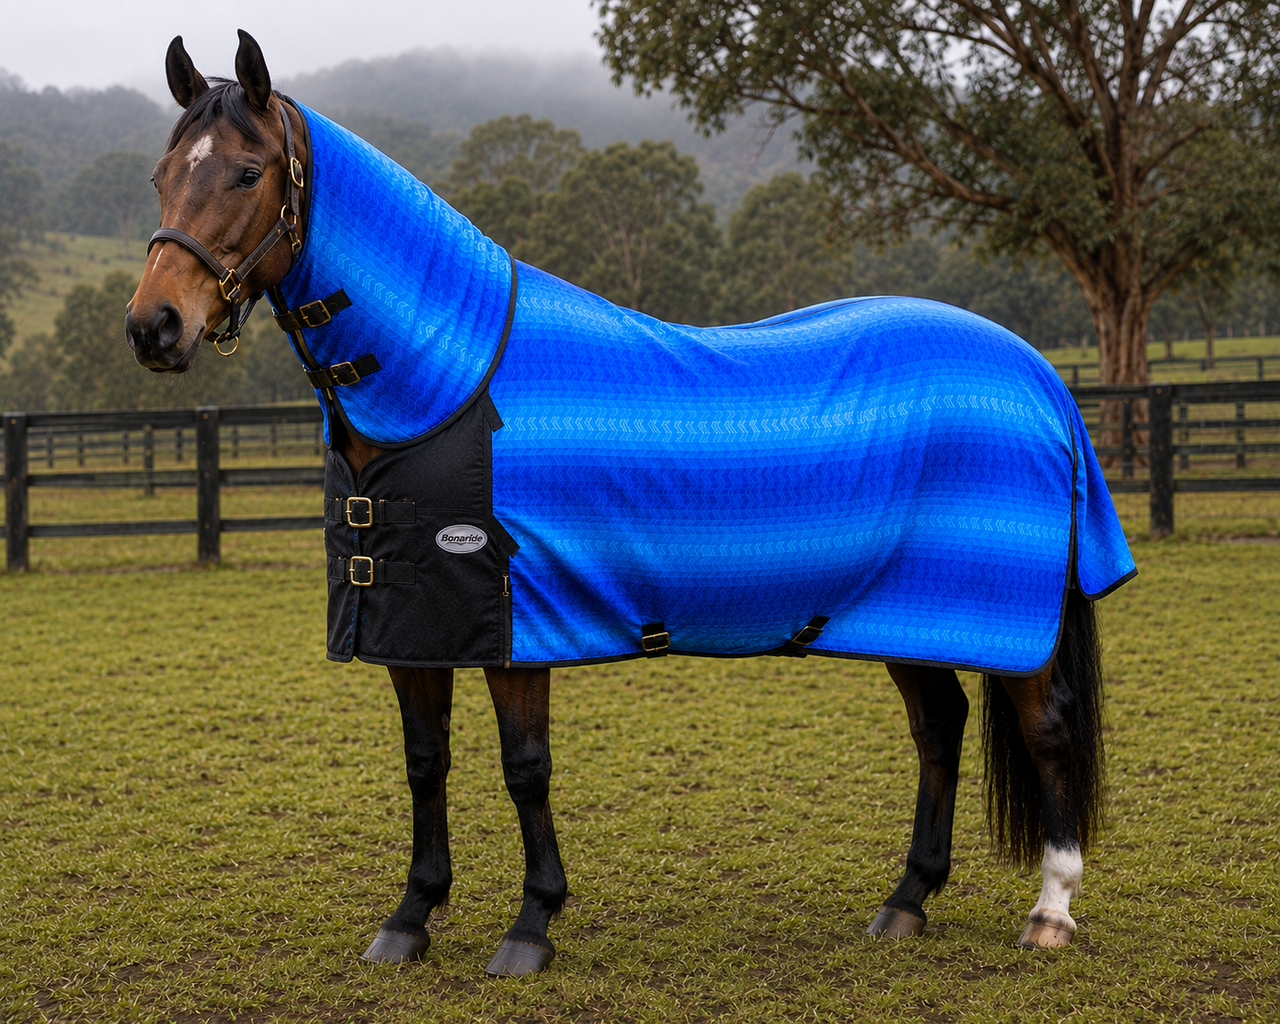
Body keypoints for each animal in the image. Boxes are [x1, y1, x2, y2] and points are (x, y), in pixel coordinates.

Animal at [126, 31, 1135, 977]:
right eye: (162, 175)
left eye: (247, 171)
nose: (153, 327)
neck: (444, 384)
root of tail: (1041, 376)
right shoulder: (411, 628)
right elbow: (424, 765)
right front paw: (410, 918)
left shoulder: (514, 625)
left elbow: (524, 770)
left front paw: (531, 926)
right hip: (904, 611)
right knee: (940, 727)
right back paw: (907, 901)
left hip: (1007, 620)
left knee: (1045, 728)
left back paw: (1049, 911)